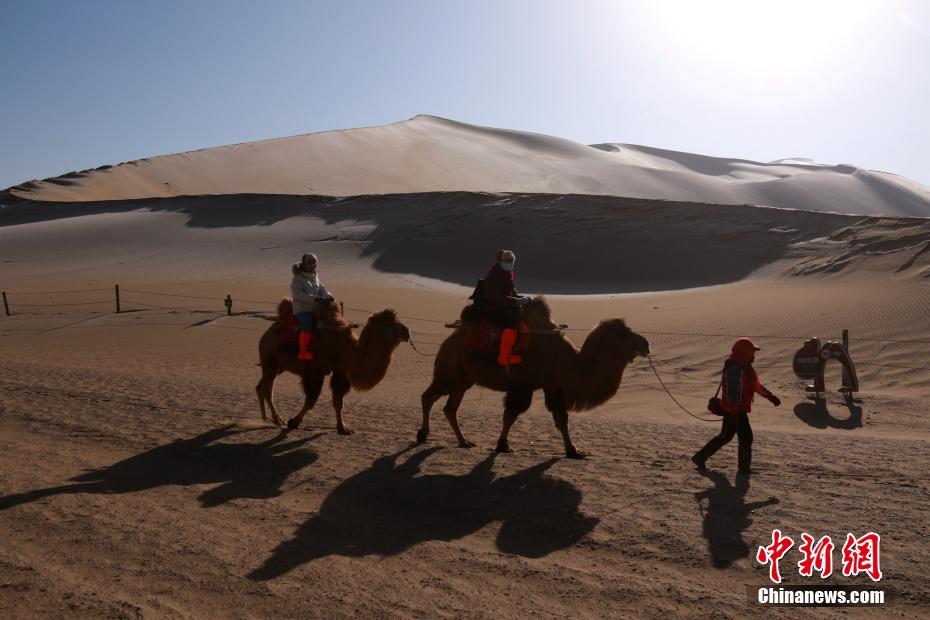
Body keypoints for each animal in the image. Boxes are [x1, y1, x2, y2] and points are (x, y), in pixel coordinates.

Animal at [416, 298, 648, 458]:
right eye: (624, 334)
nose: (646, 344)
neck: (567, 361)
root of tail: (450, 338)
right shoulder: (522, 386)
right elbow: (510, 415)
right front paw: (503, 446)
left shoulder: (553, 386)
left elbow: (561, 419)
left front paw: (573, 451)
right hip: (449, 371)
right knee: (428, 397)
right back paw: (422, 434)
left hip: (464, 379)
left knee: (449, 407)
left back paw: (464, 441)